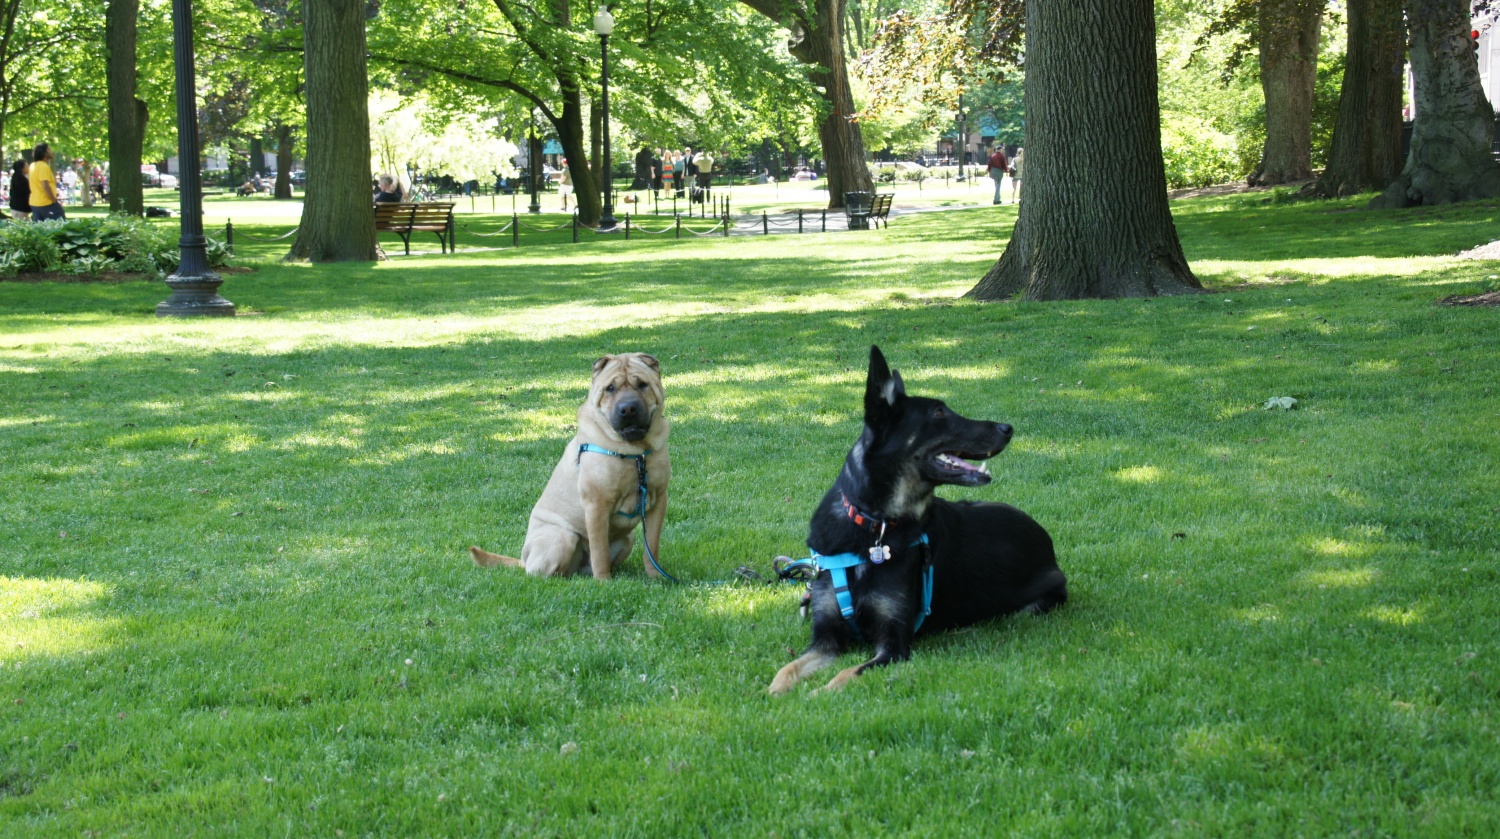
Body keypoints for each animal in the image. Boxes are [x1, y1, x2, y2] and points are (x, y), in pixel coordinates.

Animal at [774, 346, 1068, 696]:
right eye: (939, 413)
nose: (1007, 428)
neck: (874, 528)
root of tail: (1045, 538)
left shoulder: (894, 645)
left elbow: (845, 675)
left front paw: (817, 695)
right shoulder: (827, 638)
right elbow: (786, 670)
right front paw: (774, 695)